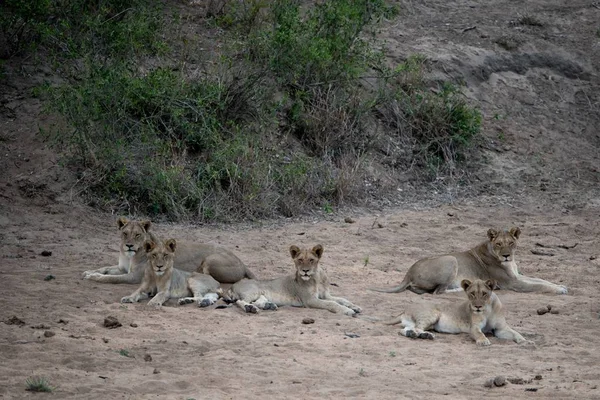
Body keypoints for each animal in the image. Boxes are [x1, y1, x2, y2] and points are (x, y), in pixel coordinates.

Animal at [82, 217, 255, 286]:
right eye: (125, 233)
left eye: (137, 235)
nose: (129, 245)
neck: (129, 256)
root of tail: (242, 262)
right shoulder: (122, 268)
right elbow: (105, 268)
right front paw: (88, 272)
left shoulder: (134, 277)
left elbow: (111, 278)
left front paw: (93, 277)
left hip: (211, 260)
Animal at [220, 244, 360, 316]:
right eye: (300, 260)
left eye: (311, 260)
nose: (305, 271)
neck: (316, 277)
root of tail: (233, 286)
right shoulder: (310, 300)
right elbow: (332, 303)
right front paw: (347, 310)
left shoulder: (325, 295)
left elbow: (342, 299)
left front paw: (355, 307)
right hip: (252, 291)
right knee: (239, 301)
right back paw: (250, 308)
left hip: (260, 295)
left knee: (257, 301)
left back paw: (269, 305)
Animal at [370, 227, 568, 296]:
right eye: (499, 244)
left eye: (511, 243)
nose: (506, 255)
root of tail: (408, 273)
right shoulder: (512, 283)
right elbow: (538, 285)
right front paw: (559, 290)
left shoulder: (517, 276)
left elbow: (541, 280)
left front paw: (561, 285)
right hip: (450, 259)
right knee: (438, 292)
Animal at [384, 278, 528, 346]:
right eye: (472, 294)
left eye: (484, 294)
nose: (477, 307)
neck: (487, 310)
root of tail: (405, 310)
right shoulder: (473, 327)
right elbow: (479, 333)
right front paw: (483, 341)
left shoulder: (500, 328)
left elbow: (515, 333)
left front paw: (524, 341)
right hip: (432, 314)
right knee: (417, 328)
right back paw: (425, 335)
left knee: (405, 329)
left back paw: (415, 334)